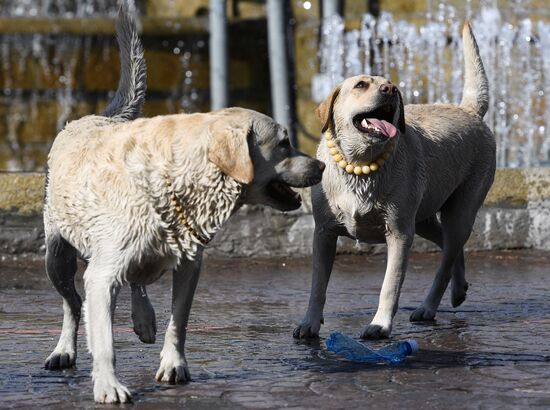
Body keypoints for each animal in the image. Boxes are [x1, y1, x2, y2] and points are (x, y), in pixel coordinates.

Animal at [46, 4, 328, 406]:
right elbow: (104, 340)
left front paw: (173, 364)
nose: (321, 165)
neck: (176, 178)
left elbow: (177, 322)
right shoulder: (101, 276)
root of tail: (95, 117)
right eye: (285, 143)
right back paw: (64, 350)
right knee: (72, 303)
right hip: (57, 255)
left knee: (135, 282)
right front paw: (108, 385)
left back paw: (143, 318)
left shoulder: (190, 265)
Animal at [296, 24, 498, 342]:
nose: (390, 90)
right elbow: (318, 285)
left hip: (458, 211)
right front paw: (309, 322)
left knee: (446, 258)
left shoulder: (400, 234)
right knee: (449, 246)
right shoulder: (324, 233)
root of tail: (468, 110)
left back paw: (428, 306)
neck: (359, 165)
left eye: (393, 86)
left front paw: (380, 325)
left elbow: (390, 285)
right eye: (361, 85)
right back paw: (459, 288)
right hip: (424, 217)